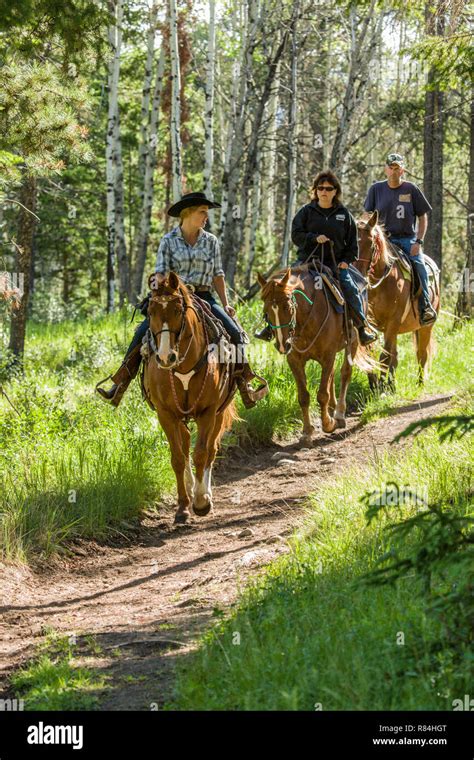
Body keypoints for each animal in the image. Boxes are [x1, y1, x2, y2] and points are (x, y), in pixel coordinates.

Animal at [141, 272, 237, 524]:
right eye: (150, 311)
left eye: (177, 310)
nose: (166, 357)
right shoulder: (166, 414)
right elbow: (177, 458)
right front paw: (183, 507)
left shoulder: (208, 412)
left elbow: (202, 453)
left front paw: (201, 501)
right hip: (180, 418)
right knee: (184, 448)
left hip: (218, 413)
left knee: (211, 449)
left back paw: (203, 492)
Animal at [258, 268, 376, 440]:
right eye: (266, 311)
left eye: (288, 307)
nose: (282, 345)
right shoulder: (294, 360)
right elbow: (303, 397)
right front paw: (307, 431)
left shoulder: (328, 355)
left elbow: (322, 394)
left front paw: (328, 424)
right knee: (333, 376)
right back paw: (333, 409)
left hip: (352, 342)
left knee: (345, 373)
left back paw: (339, 414)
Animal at [356, 211, 440, 388]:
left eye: (371, 245)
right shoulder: (369, 324)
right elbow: (372, 354)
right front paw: (374, 384)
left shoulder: (393, 322)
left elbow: (384, 357)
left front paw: (380, 387)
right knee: (396, 355)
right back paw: (392, 385)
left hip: (426, 327)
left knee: (421, 354)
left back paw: (419, 384)